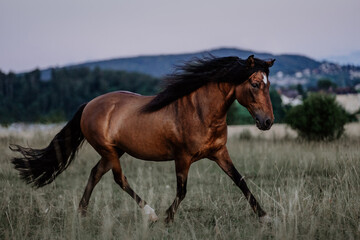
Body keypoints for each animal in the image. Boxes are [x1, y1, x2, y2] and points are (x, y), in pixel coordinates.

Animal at [10, 54, 276, 223]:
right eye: (254, 83)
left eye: (268, 84)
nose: (267, 122)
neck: (201, 112)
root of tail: (89, 105)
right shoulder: (182, 158)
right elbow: (182, 191)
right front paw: (167, 219)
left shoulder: (220, 153)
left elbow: (240, 181)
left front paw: (265, 217)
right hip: (109, 151)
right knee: (118, 179)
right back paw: (151, 213)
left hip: (114, 151)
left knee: (95, 174)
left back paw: (82, 213)